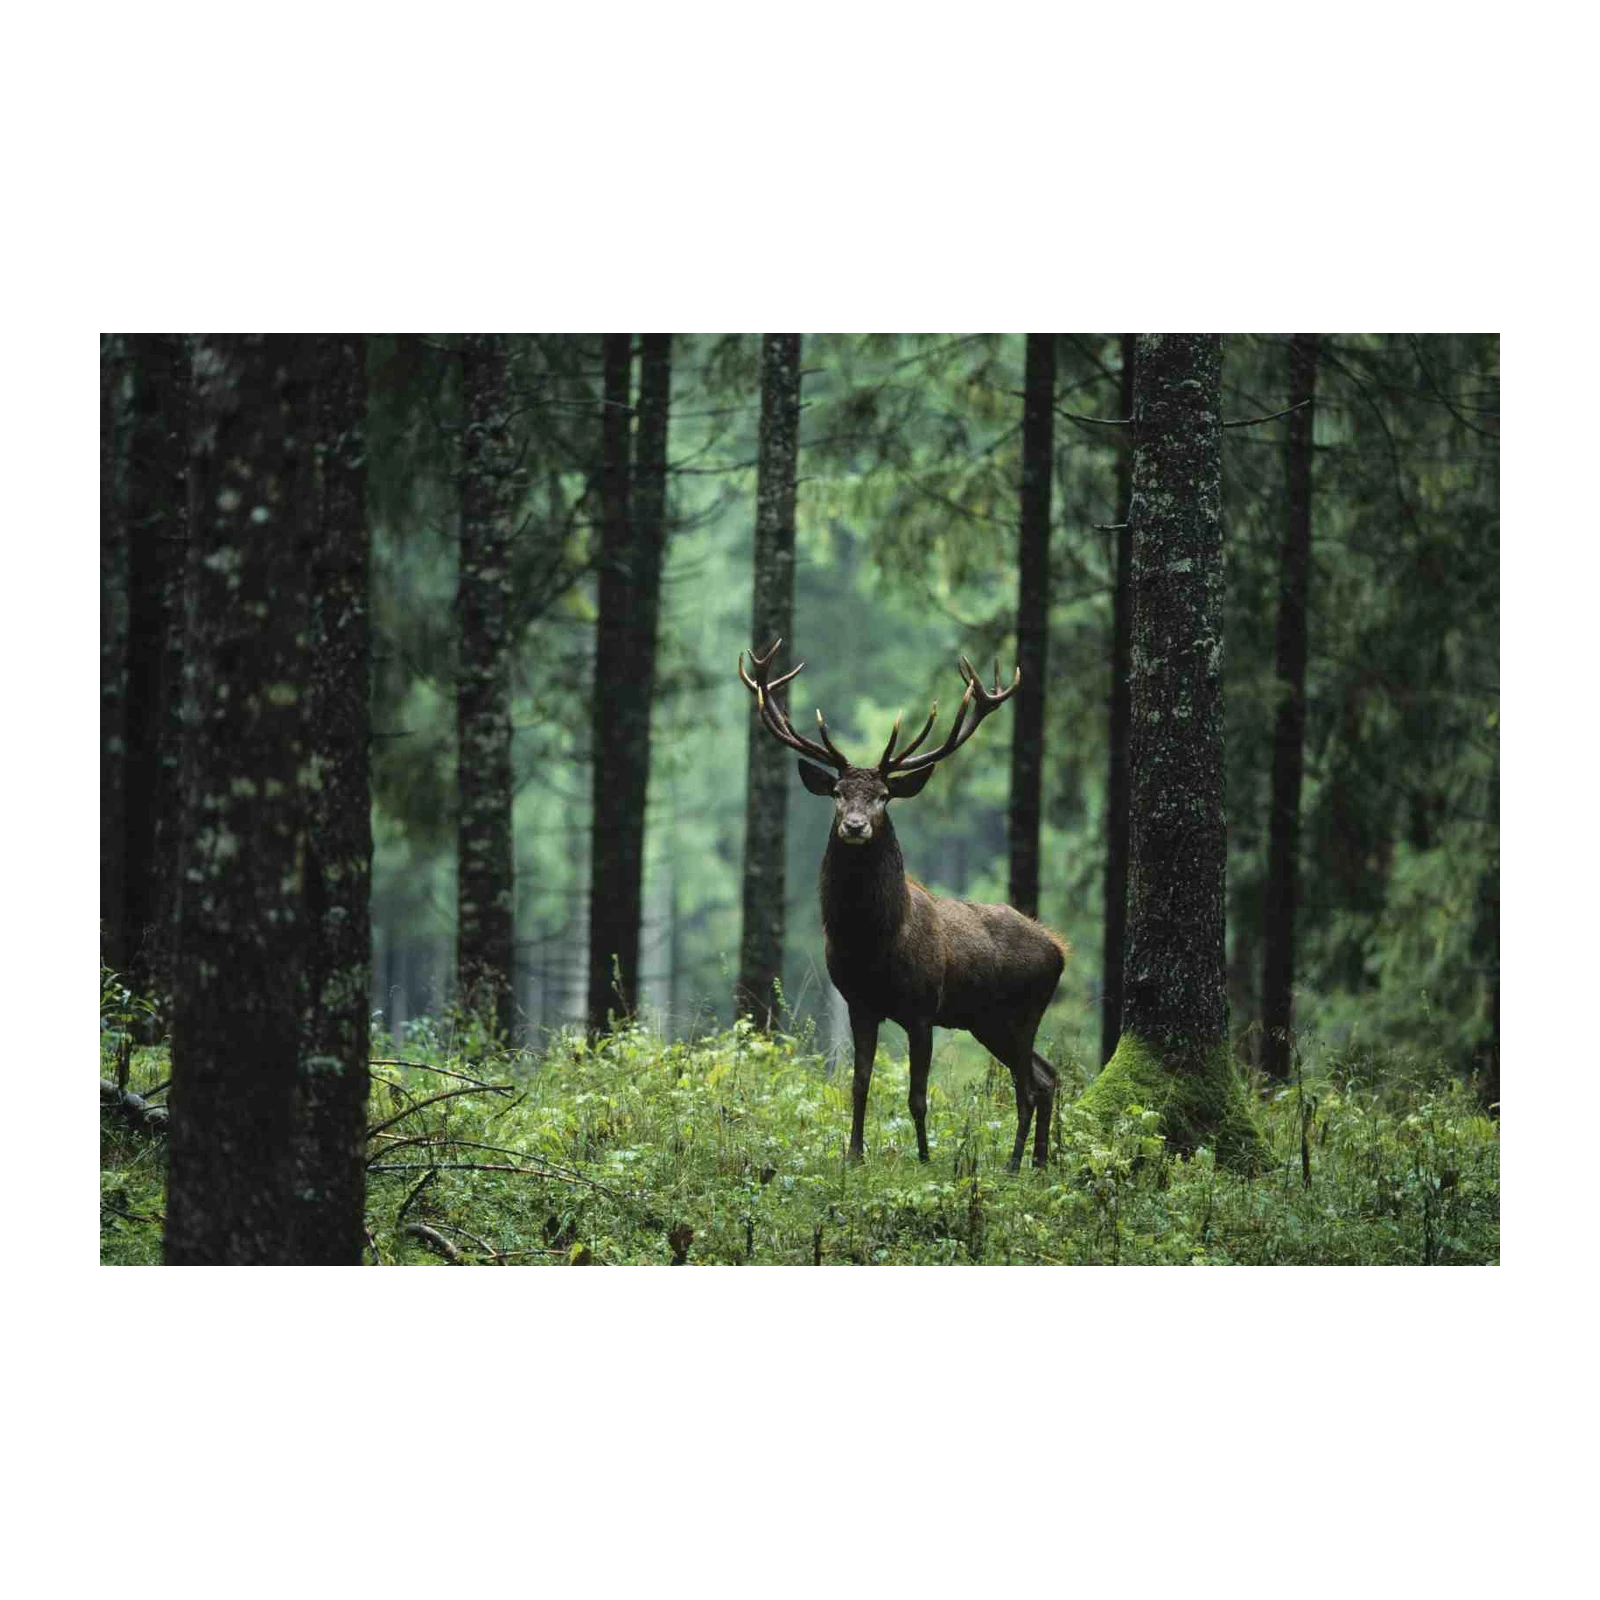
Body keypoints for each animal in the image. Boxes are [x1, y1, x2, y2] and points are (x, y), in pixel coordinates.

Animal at [739, 639, 1067, 1172]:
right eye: (837, 792)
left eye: (884, 796)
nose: (854, 826)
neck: (874, 944)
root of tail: (1060, 949)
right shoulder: (859, 1003)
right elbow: (859, 1084)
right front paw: (854, 1155)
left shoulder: (921, 1008)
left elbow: (917, 1096)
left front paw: (926, 1159)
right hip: (988, 1020)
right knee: (1046, 1076)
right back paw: (1037, 1163)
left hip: (1023, 1012)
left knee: (1027, 1087)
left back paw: (1015, 1164)